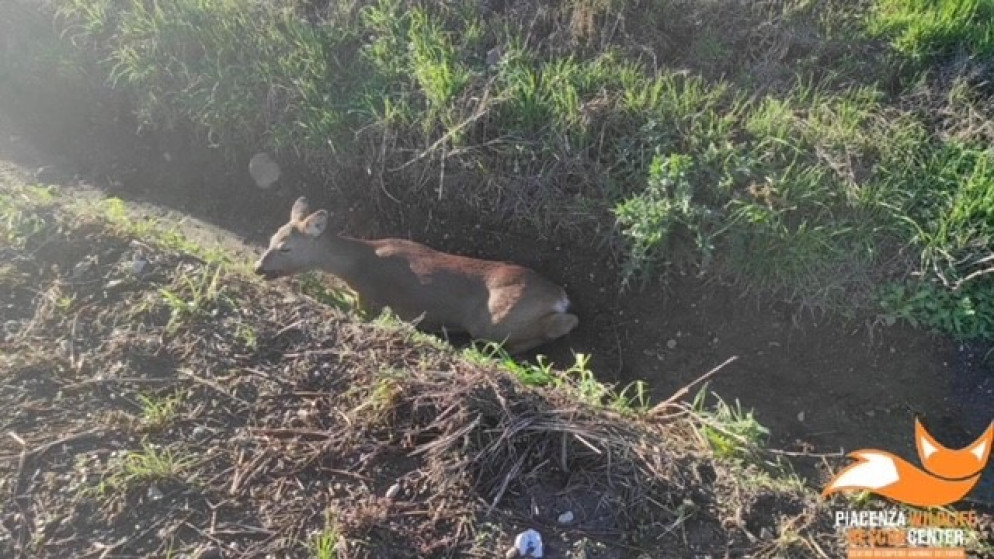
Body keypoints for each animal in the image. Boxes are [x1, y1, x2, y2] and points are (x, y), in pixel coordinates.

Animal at [254, 197, 579, 354]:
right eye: (270, 238)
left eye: (286, 247)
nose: (258, 267)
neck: (357, 266)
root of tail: (560, 295)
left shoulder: (372, 300)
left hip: (496, 320)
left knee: (560, 324)